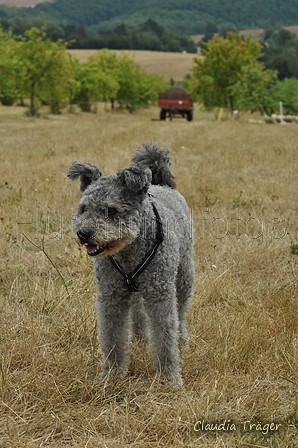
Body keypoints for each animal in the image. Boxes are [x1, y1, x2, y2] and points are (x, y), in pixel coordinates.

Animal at [68, 144, 197, 384]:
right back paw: (139, 340)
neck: (128, 251)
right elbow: (112, 338)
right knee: (138, 311)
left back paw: (182, 339)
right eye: (83, 208)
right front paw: (112, 375)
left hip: (184, 275)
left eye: (111, 210)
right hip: (135, 289)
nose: (83, 233)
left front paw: (169, 377)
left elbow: (165, 337)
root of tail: (162, 185)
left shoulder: (160, 294)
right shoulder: (111, 296)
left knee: (181, 311)